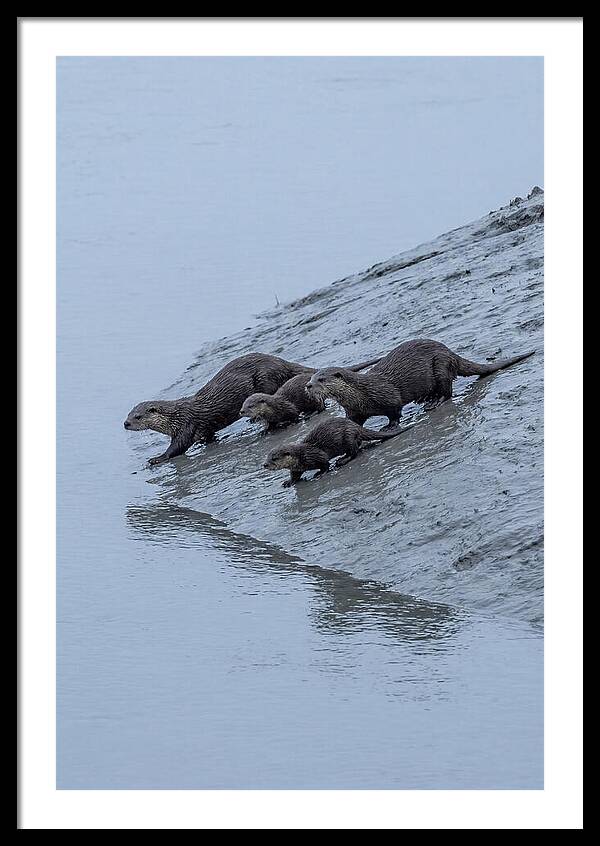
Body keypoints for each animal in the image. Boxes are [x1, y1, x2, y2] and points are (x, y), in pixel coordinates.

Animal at [239, 356, 381, 431]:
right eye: (243, 405)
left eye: (250, 406)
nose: (241, 411)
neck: (274, 407)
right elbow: (270, 424)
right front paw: (267, 429)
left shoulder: (288, 407)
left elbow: (294, 414)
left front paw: (293, 422)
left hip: (314, 398)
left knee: (321, 407)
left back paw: (311, 413)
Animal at [263, 417, 404, 486]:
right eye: (267, 457)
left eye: (274, 458)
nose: (265, 465)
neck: (302, 456)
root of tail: (355, 426)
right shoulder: (296, 468)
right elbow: (295, 476)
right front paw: (289, 482)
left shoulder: (317, 455)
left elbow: (325, 464)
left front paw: (319, 473)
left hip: (348, 436)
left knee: (354, 452)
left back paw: (342, 460)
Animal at [306, 339, 535, 428]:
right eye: (311, 378)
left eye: (321, 379)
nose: (308, 386)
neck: (361, 394)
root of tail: (450, 352)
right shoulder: (354, 411)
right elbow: (353, 423)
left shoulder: (388, 396)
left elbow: (395, 411)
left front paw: (390, 426)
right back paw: (426, 398)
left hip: (440, 365)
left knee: (447, 390)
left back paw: (435, 402)